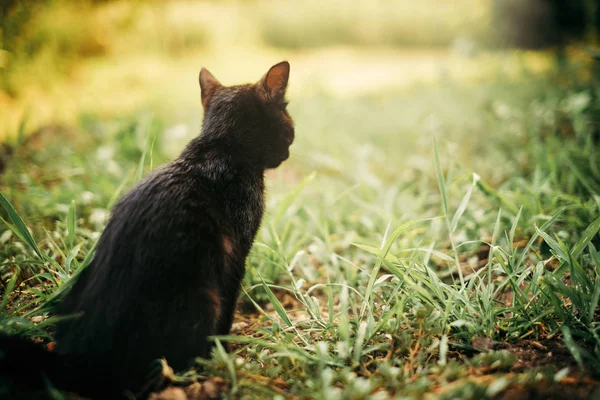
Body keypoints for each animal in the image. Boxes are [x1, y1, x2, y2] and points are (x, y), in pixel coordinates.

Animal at [0, 61, 296, 398]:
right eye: (288, 124)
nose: (289, 149)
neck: (219, 147)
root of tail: (77, 359)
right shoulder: (236, 253)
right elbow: (230, 302)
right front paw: (224, 347)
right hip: (202, 297)